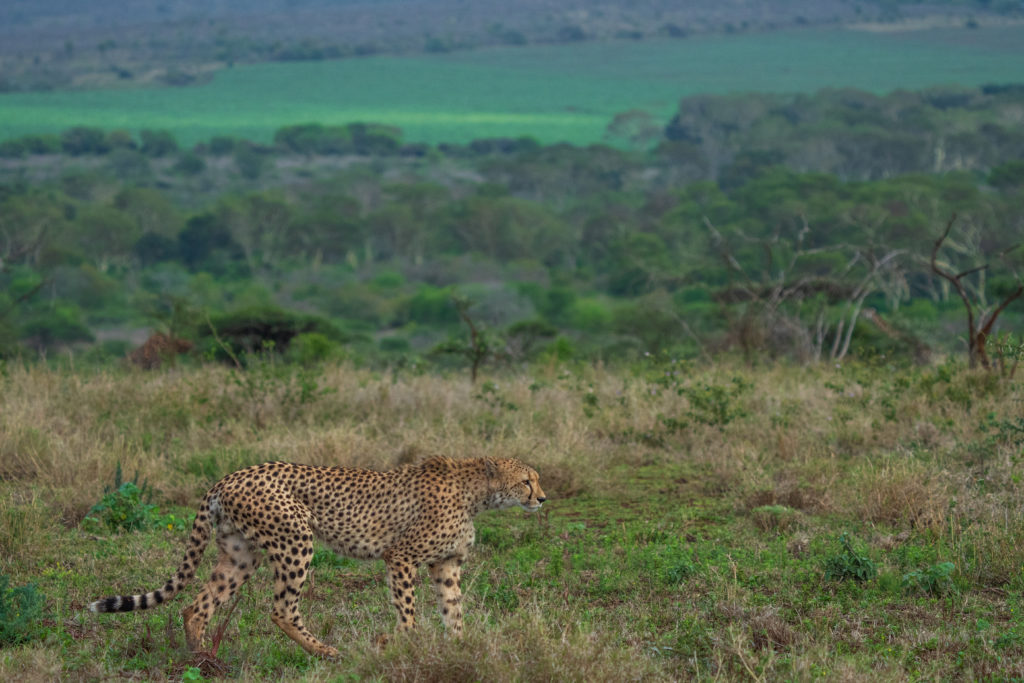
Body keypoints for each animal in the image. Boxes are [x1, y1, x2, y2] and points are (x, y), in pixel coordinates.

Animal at [90, 456, 544, 659]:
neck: (477, 493)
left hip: (240, 555)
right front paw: (397, 643)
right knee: (281, 609)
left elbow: (454, 612)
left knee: (196, 606)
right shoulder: (400, 557)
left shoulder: (445, 565)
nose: (542, 498)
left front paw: (459, 650)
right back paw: (326, 652)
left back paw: (202, 659)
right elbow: (409, 613)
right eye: (526, 481)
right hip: (296, 540)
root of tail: (229, 476)